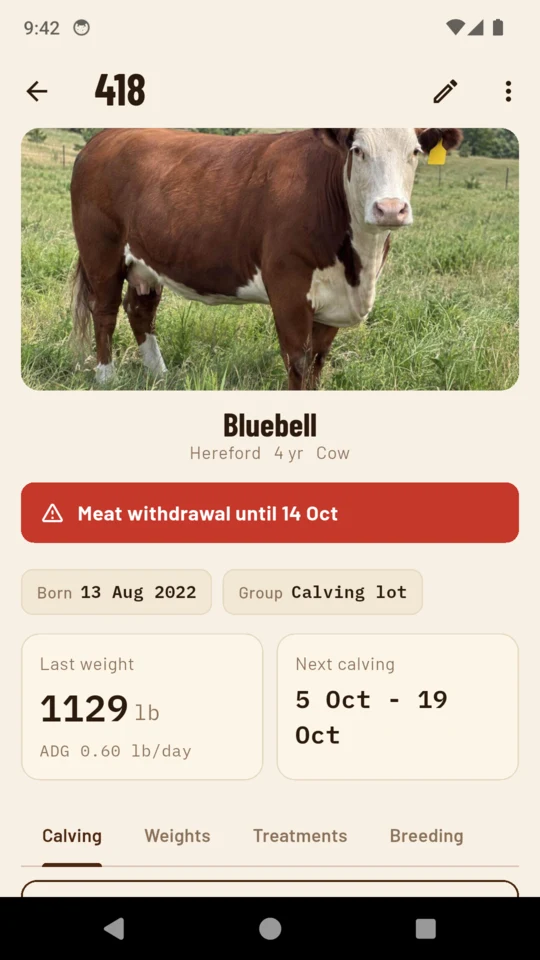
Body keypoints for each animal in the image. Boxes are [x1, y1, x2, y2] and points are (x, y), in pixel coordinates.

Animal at [71, 127, 462, 389]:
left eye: (415, 151)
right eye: (358, 150)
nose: (390, 209)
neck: (357, 267)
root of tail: (103, 137)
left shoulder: (334, 299)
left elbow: (318, 361)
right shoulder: (288, 287)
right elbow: (299, 360)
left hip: (145, 262)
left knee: (140, 310)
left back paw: (159, 373)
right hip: (101, 250)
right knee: (104, 310)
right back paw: (105, 376)